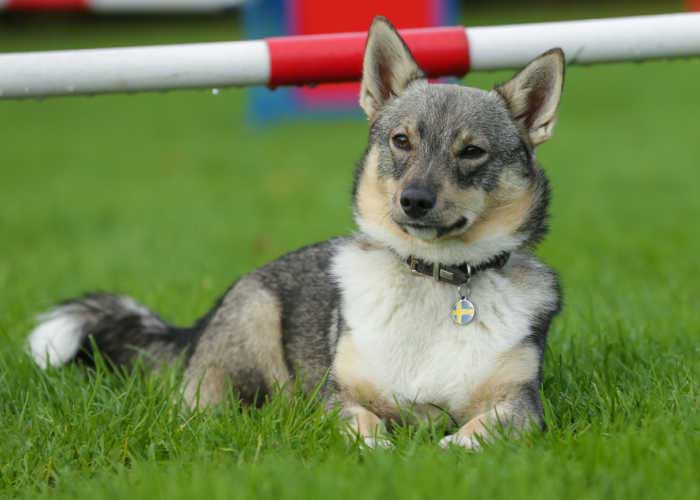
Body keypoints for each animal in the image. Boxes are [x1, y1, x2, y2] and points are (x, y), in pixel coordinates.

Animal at [26, 17, 564, 452]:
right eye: (401, 141)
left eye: (472, 152)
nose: (414, 200)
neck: (433, 279)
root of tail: (200, 322)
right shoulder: (336, 398)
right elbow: (364, 424)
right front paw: (380, 449)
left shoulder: (523, 406)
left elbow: (479, 430)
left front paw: (452, 446)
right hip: (252, 329)